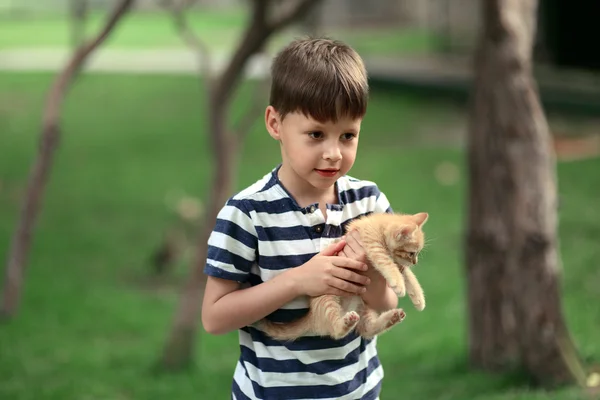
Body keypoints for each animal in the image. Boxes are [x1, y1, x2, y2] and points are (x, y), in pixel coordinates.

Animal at [253, 212, 426, 340]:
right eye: (412, 253)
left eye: (417, 254)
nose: (416, 261)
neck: (379, 227)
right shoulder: (373, 245)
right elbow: (386, 263)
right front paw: (398, 284)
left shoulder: (399, 263)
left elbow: (409, 276)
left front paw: (418, 298)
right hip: (327, 300)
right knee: (336, 331)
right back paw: (345, 323)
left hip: (365, 306)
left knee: (367, 329)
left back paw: (393, 317)